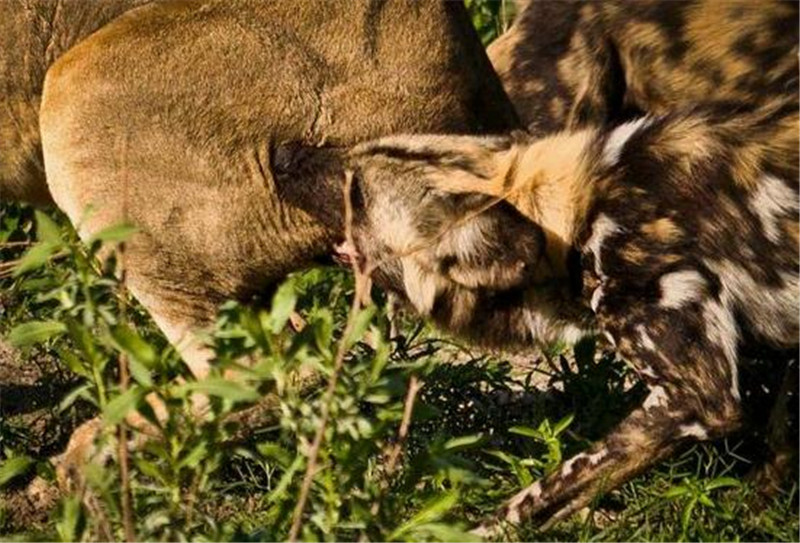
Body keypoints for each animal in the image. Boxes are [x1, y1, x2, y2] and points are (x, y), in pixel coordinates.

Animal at [318, 100, 792, 532]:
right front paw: (757, 516)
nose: (298, 155)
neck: (578, 223)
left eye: (356, 193)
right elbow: (778, 451)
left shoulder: (699, 398)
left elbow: (544, 491)